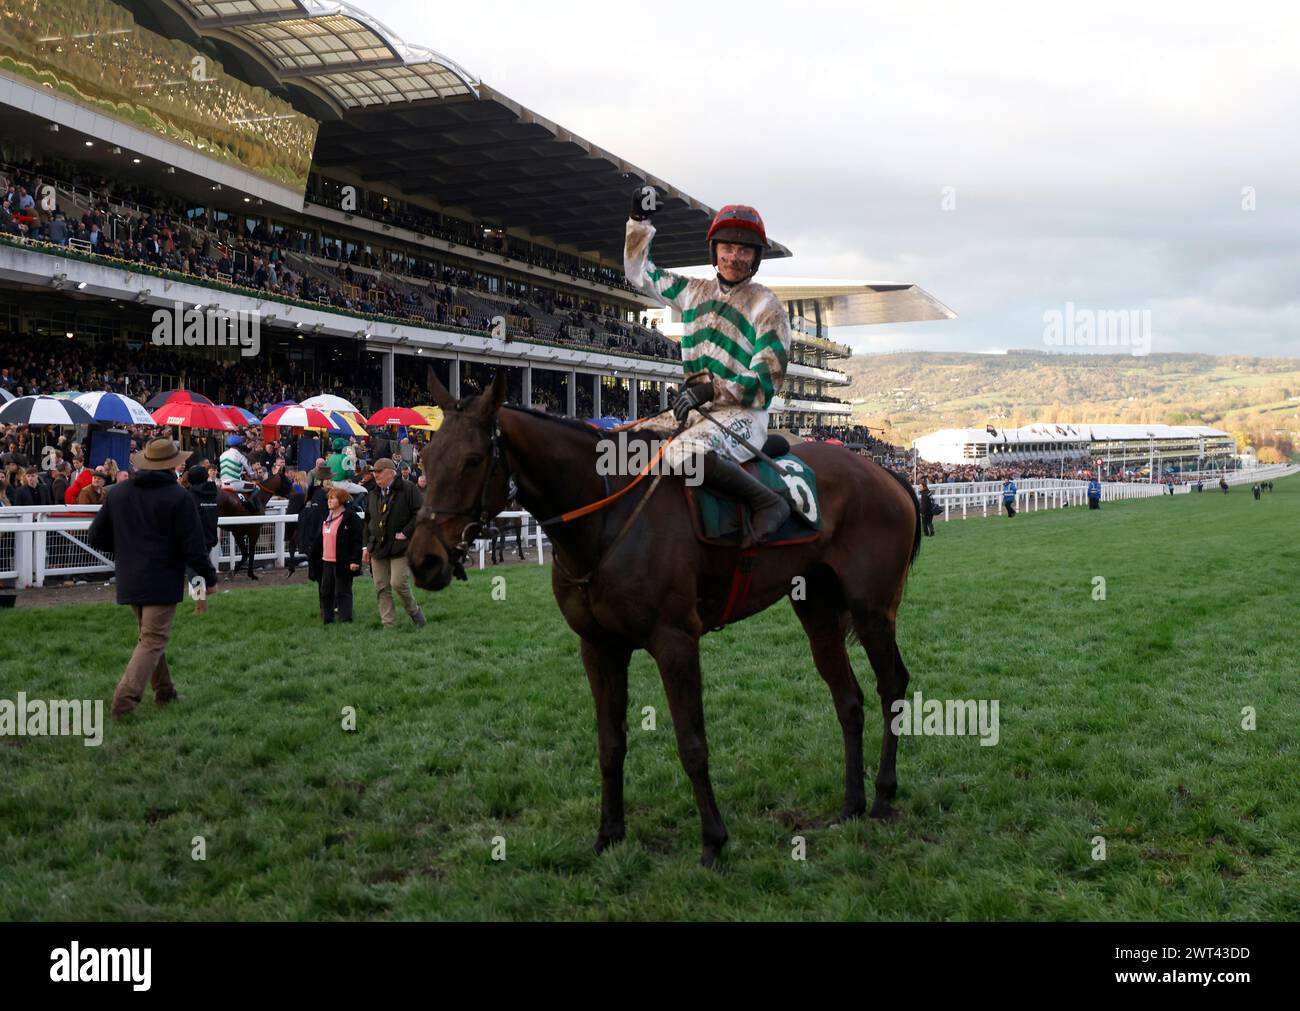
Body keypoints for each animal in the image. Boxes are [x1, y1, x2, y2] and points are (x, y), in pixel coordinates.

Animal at [408, 371, 925, 868]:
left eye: (473, 460)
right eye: (428, 456)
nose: (422, 560)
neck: (607, 515)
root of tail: (886, 474)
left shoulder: (675, 641)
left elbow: (692, 744)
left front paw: (714, 842)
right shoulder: (598, 646)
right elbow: (610, 743)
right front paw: (609, 835)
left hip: (872, 610)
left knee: (892, 686)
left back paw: (883, 796)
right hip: (816, 610)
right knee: (848, 700)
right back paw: (851, 804)